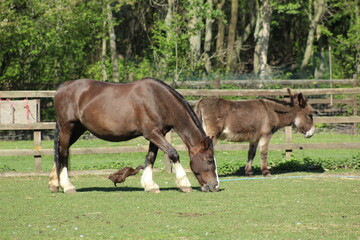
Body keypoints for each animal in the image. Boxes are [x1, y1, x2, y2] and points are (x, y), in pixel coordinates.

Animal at [47, 79, 217, 193]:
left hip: (77, 129)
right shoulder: (152, 133)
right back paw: (68, 186)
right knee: (63, 152)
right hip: (67, 127)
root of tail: (62, 87)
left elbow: (151, 157)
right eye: (209, 160)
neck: (158, 100)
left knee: (60, 151)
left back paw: (55, 184)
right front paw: (184, 184)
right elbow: (173, 153)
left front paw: (150, 185)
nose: (215, 186)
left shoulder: (156, 134)